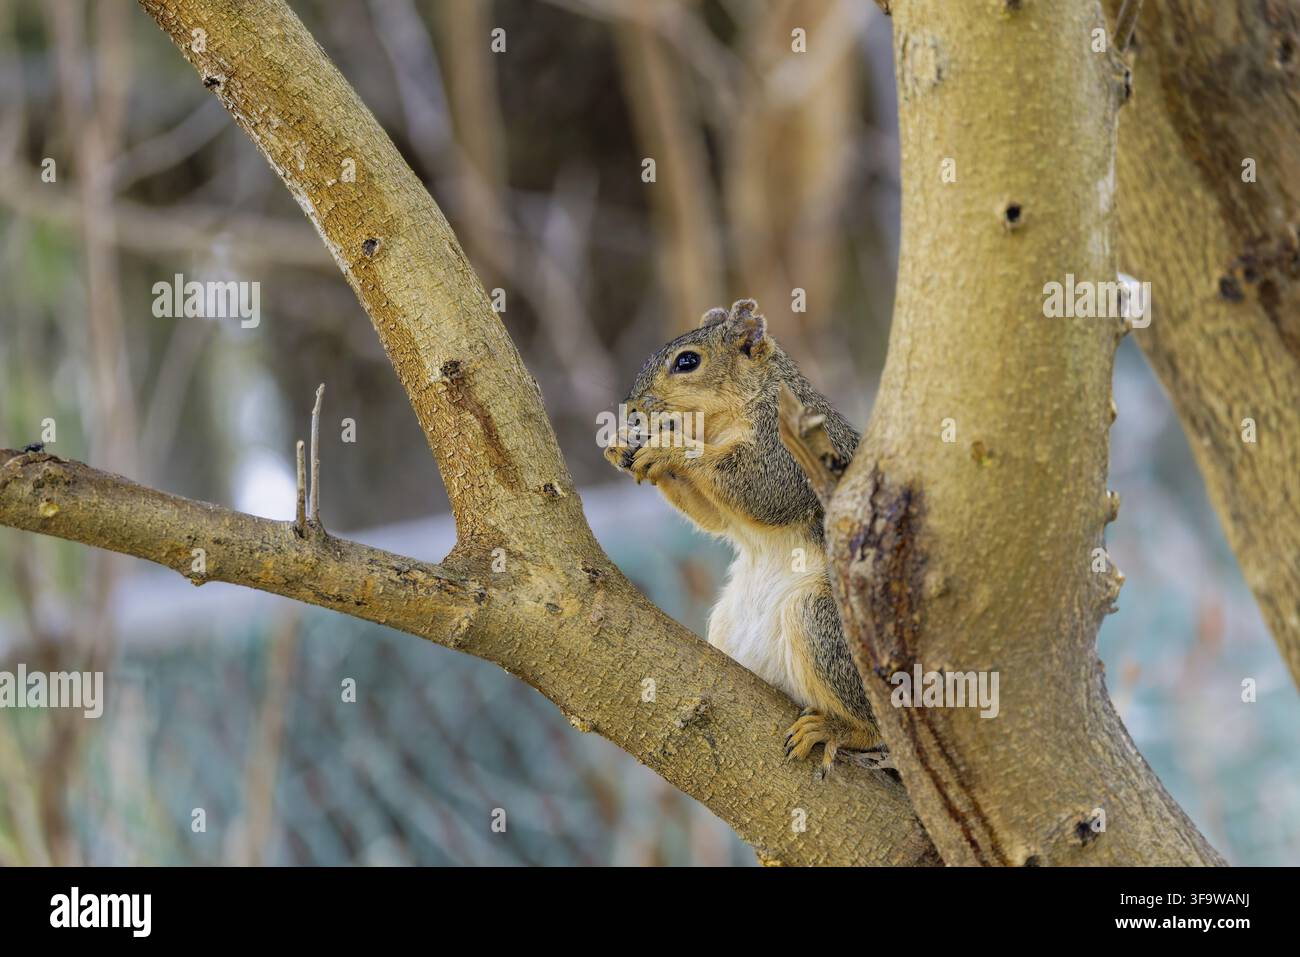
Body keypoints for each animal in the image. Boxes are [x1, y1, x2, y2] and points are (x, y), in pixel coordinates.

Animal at [602, 298, 882, 774]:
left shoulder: (785, 450)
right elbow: (715, 518)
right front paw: (621, 447)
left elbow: (758, 488)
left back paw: (838, 730)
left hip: (822, 618)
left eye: (687, 362)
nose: (633, 409)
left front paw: (669, 447)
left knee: (875, 727)